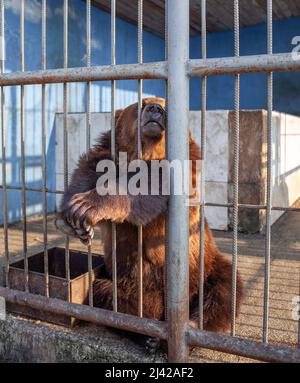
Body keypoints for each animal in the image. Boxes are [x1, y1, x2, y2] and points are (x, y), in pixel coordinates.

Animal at [55, 98, 244, 332]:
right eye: (141, 104)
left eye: (165, 104)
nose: (156, 109)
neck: (143, 154)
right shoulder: (108, 154)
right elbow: (88, 170)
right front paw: (70, 219)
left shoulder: (182, 168)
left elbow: (147, 186)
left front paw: (86, 206)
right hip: (122, 275)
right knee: (109, 292)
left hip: (205, 263)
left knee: (224, 288)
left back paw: (191, 321)